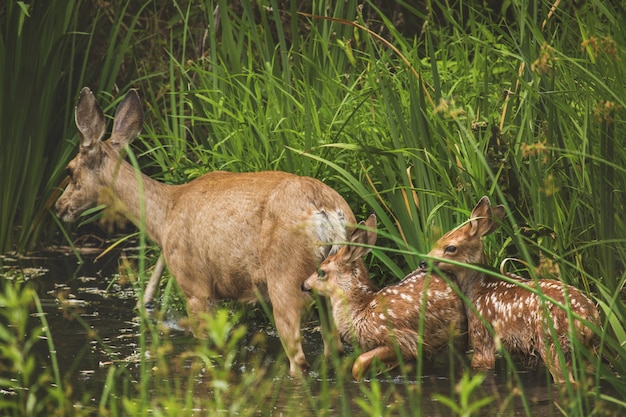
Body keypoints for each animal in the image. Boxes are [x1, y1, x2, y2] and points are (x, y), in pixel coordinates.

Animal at [54, 87, 356, 374]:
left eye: (69, 170)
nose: (59, 207)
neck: (164, 214)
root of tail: (325, 210)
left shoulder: (195, 286)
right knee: (336, 350)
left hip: (285, 277)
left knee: (299, 360)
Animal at [422, 197, 596, 382]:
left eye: (451, 248)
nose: (423, 262)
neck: (477, 288)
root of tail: (588, 316)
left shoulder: (481, 336)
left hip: (551, 342)